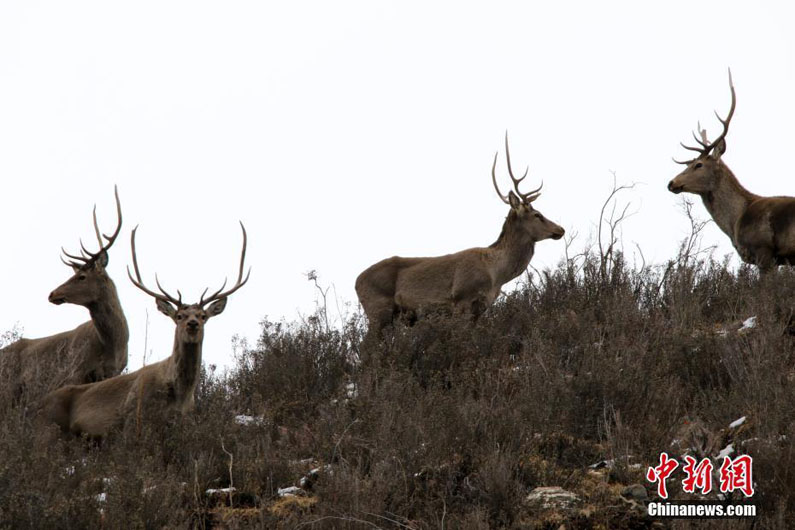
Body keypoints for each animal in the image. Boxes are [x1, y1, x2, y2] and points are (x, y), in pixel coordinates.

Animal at [40, 221, 250, 436]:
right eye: (179, 316)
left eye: (203, 316)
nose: (193, 323)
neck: (180, 396)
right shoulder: (134, 418)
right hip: (50, 426)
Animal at [354, 133, 564, 338]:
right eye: (537, 214)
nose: (560, 229)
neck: (496, 274)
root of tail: (356, 282)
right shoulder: (462, 297)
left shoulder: (481, 308)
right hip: (378, 309)